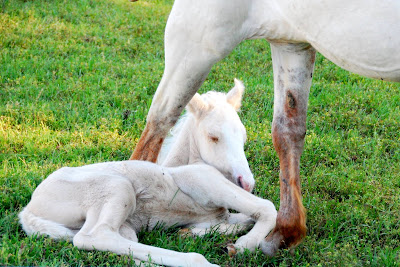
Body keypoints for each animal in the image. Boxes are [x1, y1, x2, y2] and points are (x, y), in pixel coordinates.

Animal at [130, 0, 400, 256]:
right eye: (213, 137)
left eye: (243, 138)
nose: (247, 183)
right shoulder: (291, 44)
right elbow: (287, 131)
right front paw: (285, 233)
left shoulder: (198, 31)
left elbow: (160, 117)